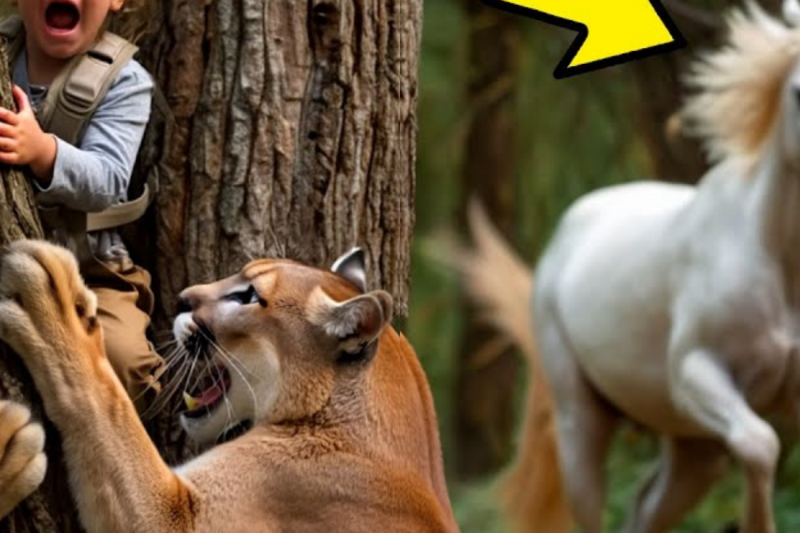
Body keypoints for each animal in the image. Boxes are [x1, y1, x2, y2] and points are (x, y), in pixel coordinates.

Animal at [447, 2, 800, 532]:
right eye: (798, 90)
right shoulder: (694, 368)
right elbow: (760, 446)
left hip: (691, 447)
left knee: (646, 507)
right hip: (582, 422)